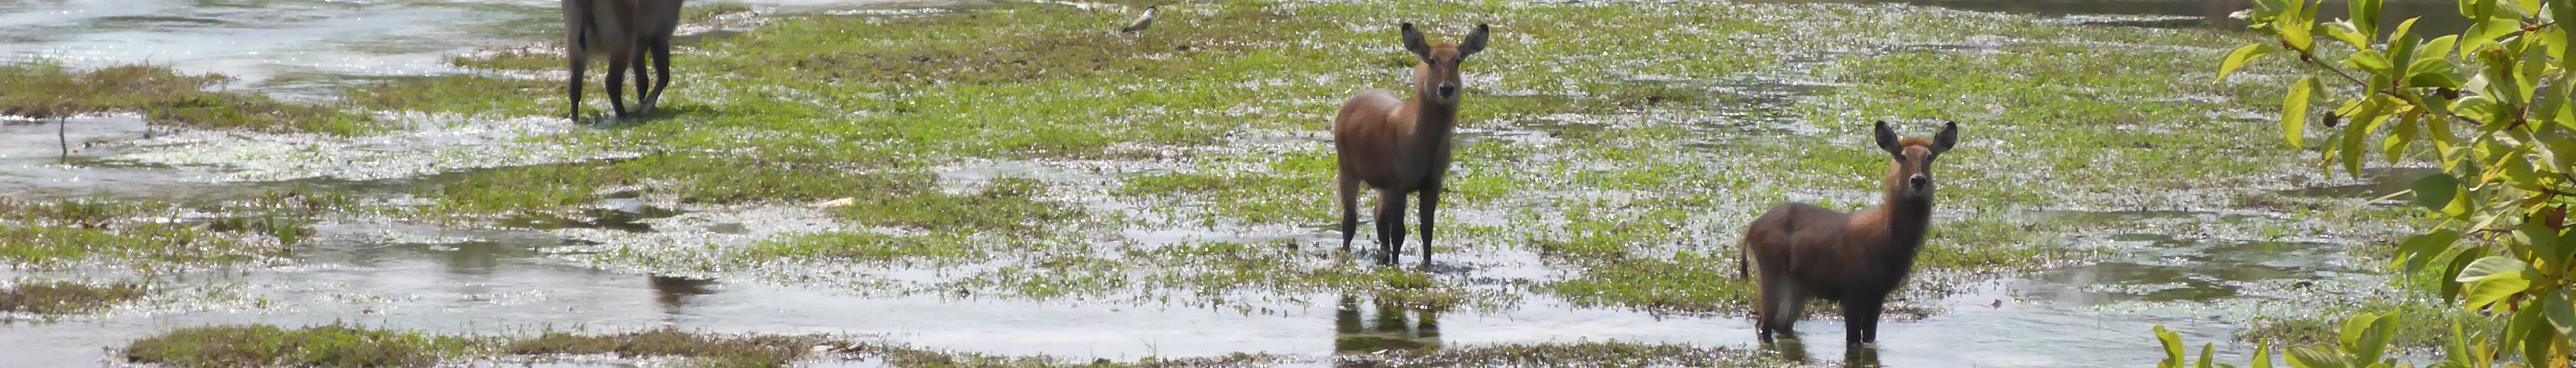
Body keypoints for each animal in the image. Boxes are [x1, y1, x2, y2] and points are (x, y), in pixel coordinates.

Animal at [564, 0, 685, 122]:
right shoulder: (659, 36)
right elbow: (664, 77)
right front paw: (646, 106)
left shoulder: (640, 44)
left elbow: (642, 80)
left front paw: (643, 105)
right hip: (622, 45)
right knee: (611, 82)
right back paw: (624, 115)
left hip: (576, 47)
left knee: (575, 84)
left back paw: (574, 118)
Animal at [1329, 23, 1494, 268]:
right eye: (1432, 59)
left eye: (1458, 60)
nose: (1446, 89)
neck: (1422, 143)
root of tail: (1346, 108)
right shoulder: (1399, 184)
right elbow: (1399, 231)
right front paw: (1397, 266)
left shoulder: (1431, 183)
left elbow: (1427, 229)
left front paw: (1427, 264)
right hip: (1347, 168)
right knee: (1350, 220)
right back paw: (1350, 252)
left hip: (1383, 184)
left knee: (1378, 215)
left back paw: (1383, 255)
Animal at [1741, 120, 1958, 347]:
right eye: (1903, 156)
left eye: (1929, 157)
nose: (1918, 181)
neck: (1888, 239)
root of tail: (1751, 229)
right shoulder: (1852, 290)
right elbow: (1853, 340)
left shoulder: (1878, 293)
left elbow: (1869, 338)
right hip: (1772, 273)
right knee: (1764, 325)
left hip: (1797, 285)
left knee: (1780, 325)